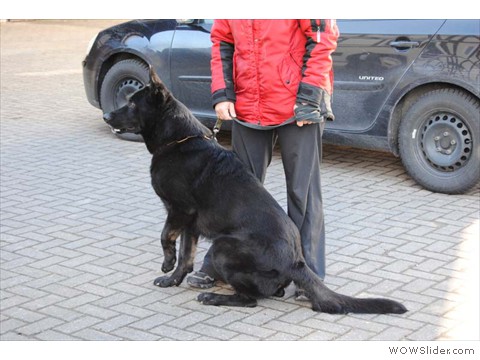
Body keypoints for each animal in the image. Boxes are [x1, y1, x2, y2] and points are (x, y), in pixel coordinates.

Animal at [103, 68, 406, 316]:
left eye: (132, 103)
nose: (106, 116)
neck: (178, 139)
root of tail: (296, 261)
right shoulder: (190, 223)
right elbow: (186, 257)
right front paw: (172, 279)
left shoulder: (179, 211)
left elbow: (165, 236)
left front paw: (166, 264)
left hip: (222, 247)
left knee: (250, 300)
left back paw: (214, 298)